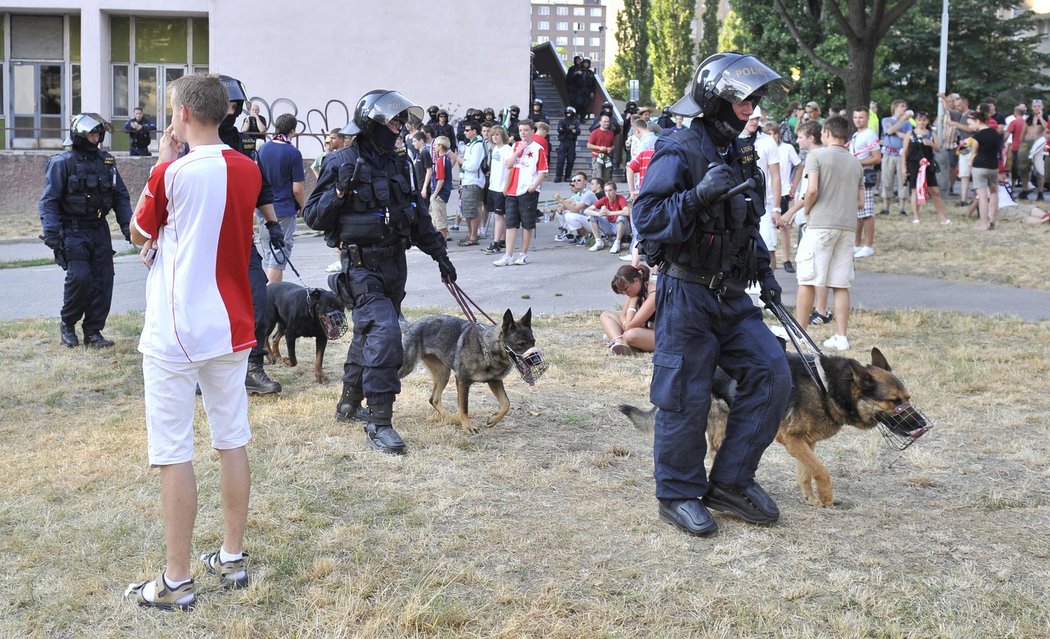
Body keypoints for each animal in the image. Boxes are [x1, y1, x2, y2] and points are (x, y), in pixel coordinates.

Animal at [398, 308, 537, 434]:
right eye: (520, 344)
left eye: (533, 342)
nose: (536, 360)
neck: (486, 348)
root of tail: (411, 325)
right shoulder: (462, 381)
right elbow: (464, 407)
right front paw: (468, 427)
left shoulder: (494, 381)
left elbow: (506, 404)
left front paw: (493, 420)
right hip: (407, 368)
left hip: (444, 374)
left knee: (434, 399)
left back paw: (452, 419)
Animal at [621, 346, 928, 505]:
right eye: (894, 401)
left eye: (908, 398)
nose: (923, 424)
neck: (827, 386)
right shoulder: (791, 440)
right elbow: (822, 470)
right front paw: (826, 498)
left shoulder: (805, 442)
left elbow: (806, 472)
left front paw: (810, 499)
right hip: (720, 423)